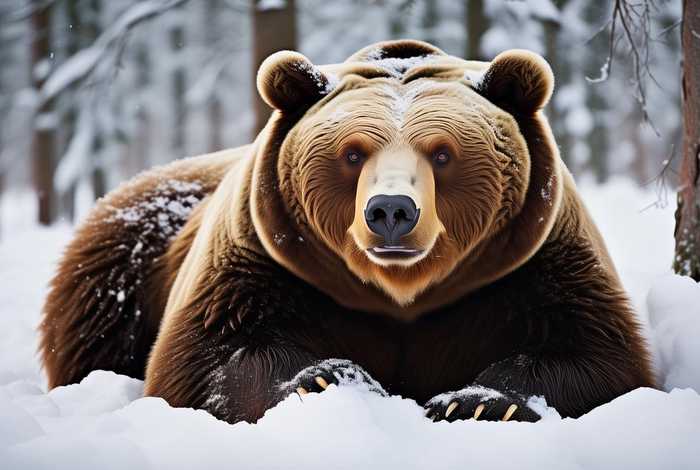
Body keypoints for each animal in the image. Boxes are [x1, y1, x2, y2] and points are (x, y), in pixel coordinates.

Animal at [40, 39, 654, 424]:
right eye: (352, 153)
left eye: (443, 153)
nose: (391, 211)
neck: (399, 295)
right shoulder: (263, 258)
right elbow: (206, 357)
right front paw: (326, 378)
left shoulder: (533, 264)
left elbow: (599, 356)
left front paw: (475, 401)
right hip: (128, 248)